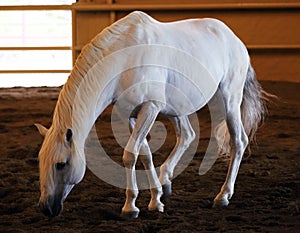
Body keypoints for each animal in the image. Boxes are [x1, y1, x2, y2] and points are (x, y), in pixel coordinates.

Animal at [35, 10, 268, 218]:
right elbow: (144, 154)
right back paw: (166, 180)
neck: (126, 57)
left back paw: (223, 196)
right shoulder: (130, 114)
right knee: (188, 135)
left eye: (61, 164)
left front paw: (130, 207)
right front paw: (156, 199)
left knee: (238, 141)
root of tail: (235, 40)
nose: (46, 208)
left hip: (230, 100)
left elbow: (130, 155)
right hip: (177, 108)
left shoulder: (151, 108)